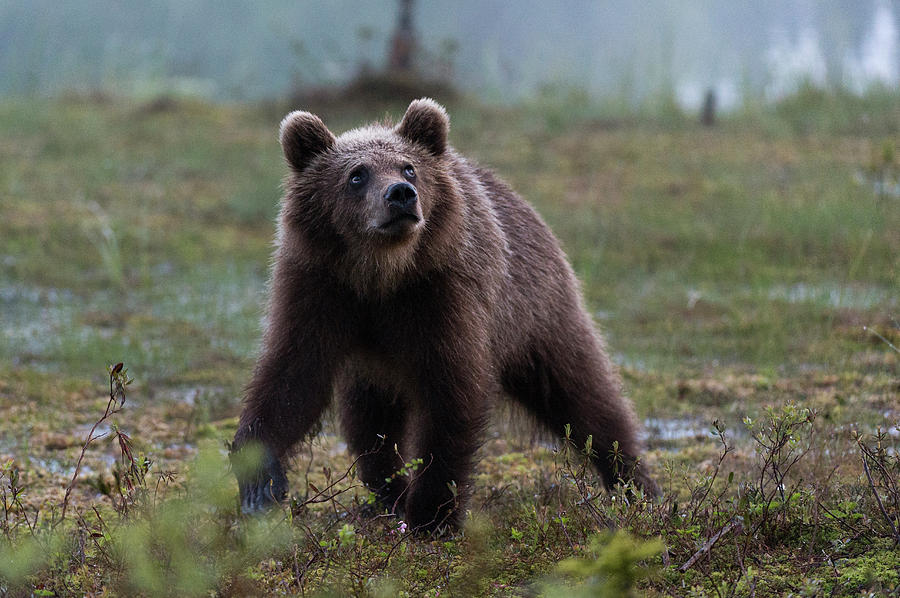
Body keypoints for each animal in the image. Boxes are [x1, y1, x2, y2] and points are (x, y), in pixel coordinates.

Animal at [229, 98, 656, 536]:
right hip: (371, 368)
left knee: (582, 394)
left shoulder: (441, 294)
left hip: (537, 313)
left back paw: (636, 486)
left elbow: (451, 393)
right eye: (356, 174)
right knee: (368, 422)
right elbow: (293, 377)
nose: (401, 195)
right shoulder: (320, 288)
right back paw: (388, 494)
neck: (380, 275)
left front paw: (432, 513)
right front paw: (260, 483)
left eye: (408, 168)